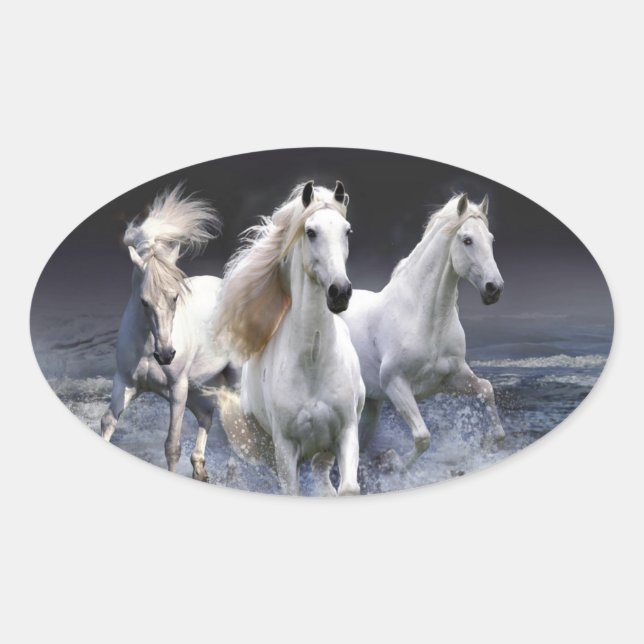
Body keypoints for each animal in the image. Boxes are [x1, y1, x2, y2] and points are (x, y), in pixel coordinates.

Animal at [101, 185, 239, 481]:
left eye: (175, 297)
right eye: (144, 301)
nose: (165, 355)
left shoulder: (177, 390)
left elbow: (172, 445)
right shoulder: (125, 382)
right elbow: (108, 421)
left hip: (231, 379)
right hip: (198, 387)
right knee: (206, 416)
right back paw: (199, 467)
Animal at [215, 180, 365, 496]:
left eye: (347, 231)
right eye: (311, 232)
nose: (340, 292)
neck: (313, 361)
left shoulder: (346, 432)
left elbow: (348, 489)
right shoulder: (284, 450)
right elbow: (291, 489)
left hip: (324, 452)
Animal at [340, 193, 505, 464]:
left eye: (491, 239)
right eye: (467, 240)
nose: (494, 288)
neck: (424, 320)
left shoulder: (452, 378)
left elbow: (486, 389)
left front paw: (489, 444)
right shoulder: (396, 385)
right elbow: (423, 437)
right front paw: (394, 462)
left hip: (371, 405)